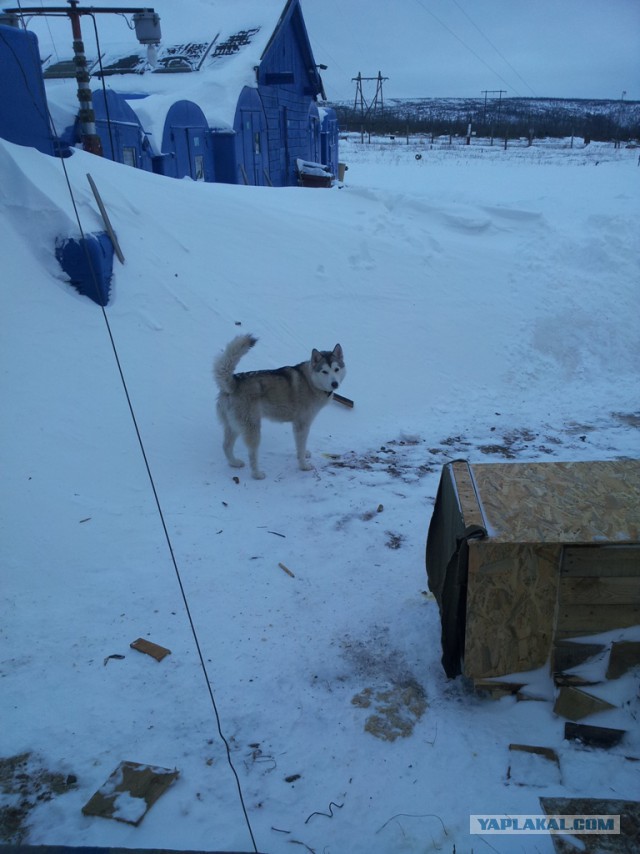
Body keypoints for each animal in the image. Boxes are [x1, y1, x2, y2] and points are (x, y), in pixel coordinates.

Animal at [214, 336, 344, 482]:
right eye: (324, 371)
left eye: (336, 369)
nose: (335, 383)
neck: (310, 381)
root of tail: (234, 382)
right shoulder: (302, 424)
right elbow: (301, 446)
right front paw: (303, 465)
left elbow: (301, 446)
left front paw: (304, 454)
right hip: (253, 428)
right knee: (252, 455)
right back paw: (257, 474)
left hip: (233, 426)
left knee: (226, 446)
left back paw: (234, 463)